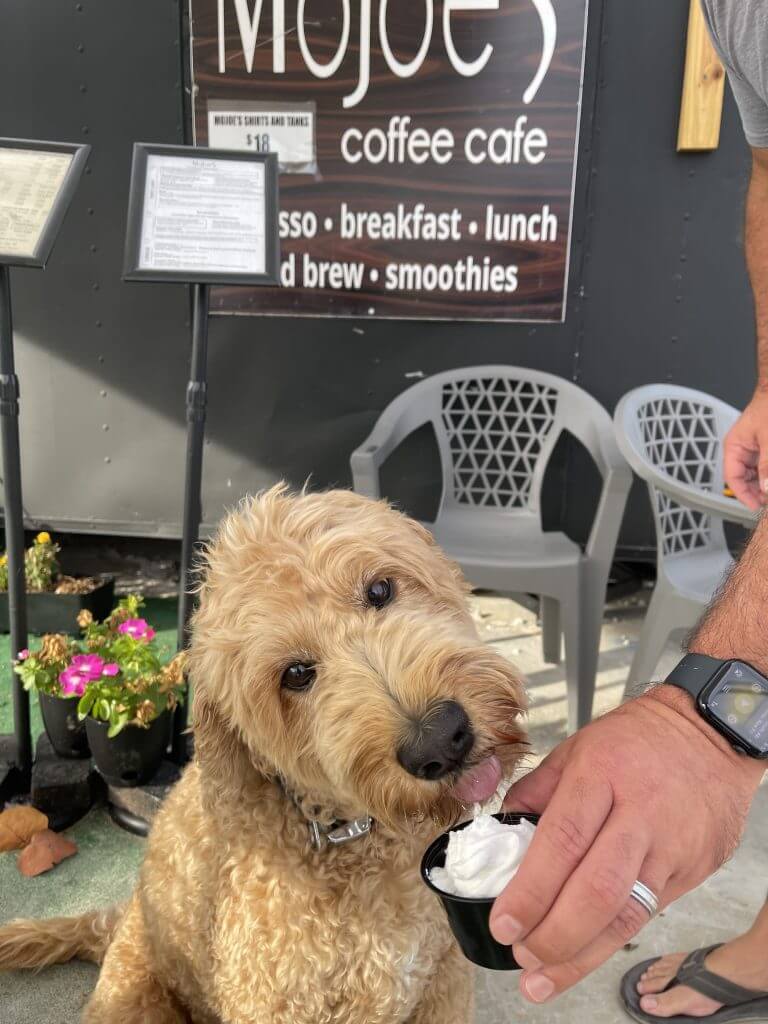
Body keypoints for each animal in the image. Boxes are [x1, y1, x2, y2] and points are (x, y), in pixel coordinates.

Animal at [0, 487, 528, 1024]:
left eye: (380, 590)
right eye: (295, 674)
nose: (438, 739)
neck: (341, 833)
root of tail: (121, 918)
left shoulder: (444, 981)